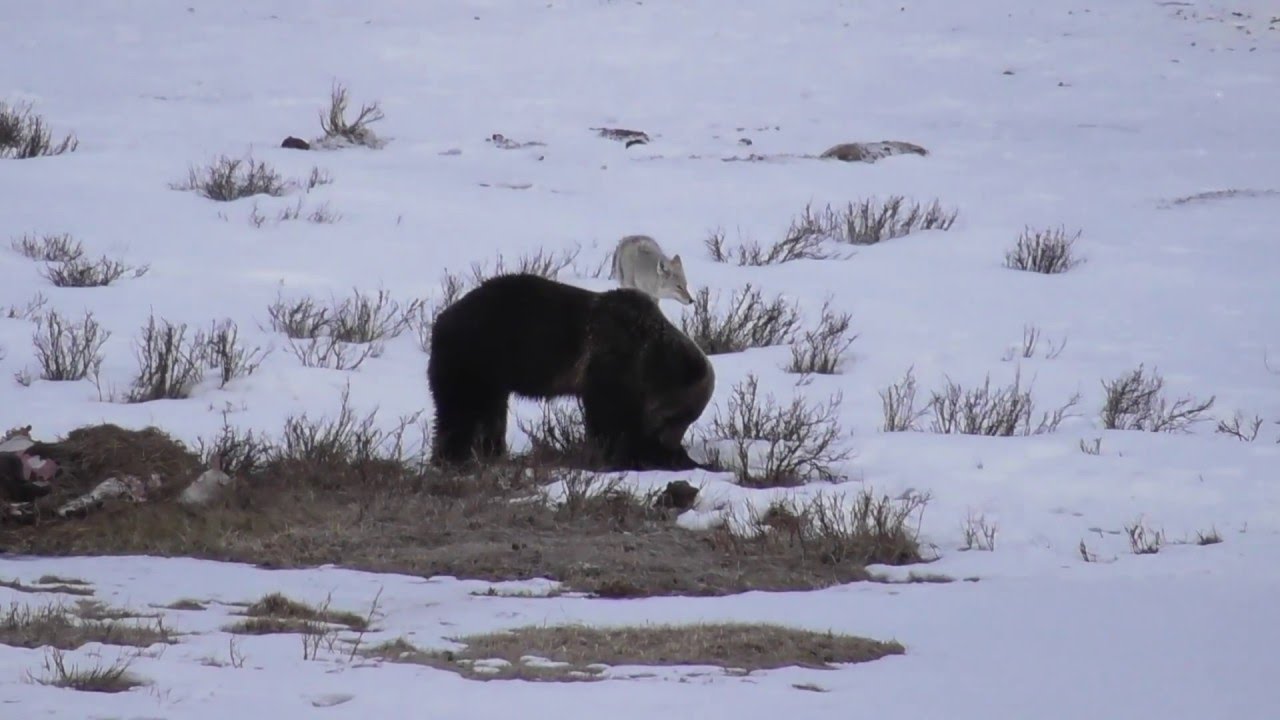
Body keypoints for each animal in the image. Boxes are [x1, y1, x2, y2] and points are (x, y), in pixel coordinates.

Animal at [427, 273, 714, 471]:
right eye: (680, 416)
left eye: (689, 417)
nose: (671, 443)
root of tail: (441, 319)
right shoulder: (610, 362)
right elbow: (610, 420)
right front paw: (626, 456)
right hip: (476, 358)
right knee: (459, 409)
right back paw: (452, 456)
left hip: (491, 376)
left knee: (487, 414)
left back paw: (487, 453)